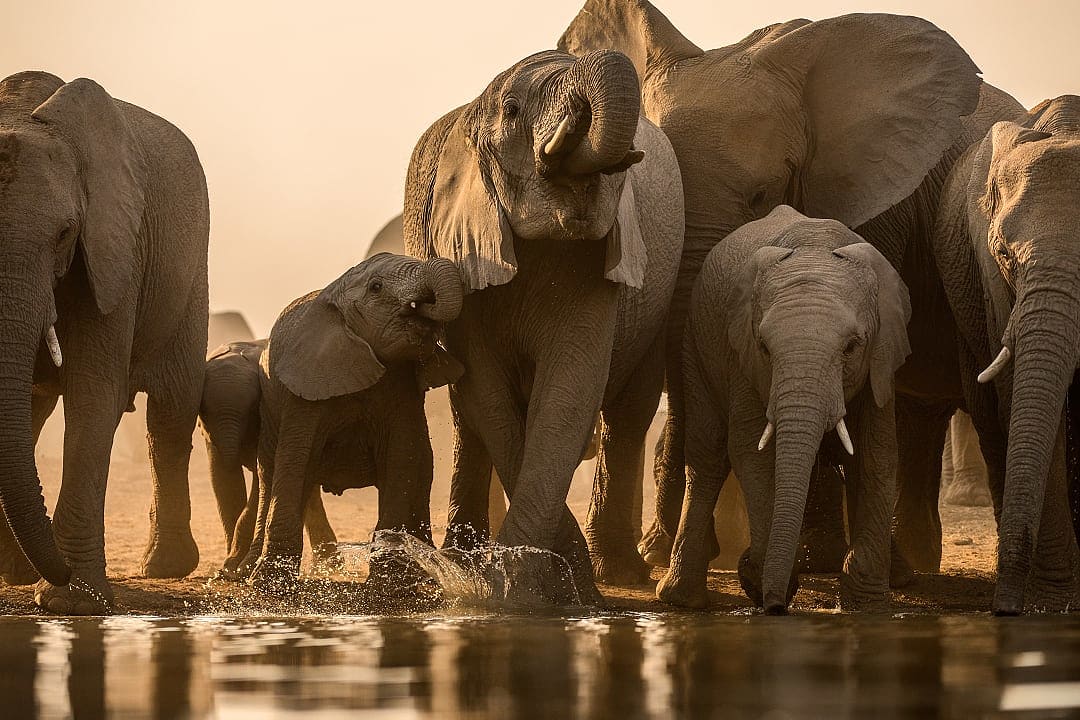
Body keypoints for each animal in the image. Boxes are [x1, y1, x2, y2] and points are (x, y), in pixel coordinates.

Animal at [0, 71, 209, 614]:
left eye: (64, 233)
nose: (59, 567)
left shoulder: (114, 247)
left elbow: (94, 394)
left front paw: (72, 602)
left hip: (190, 277)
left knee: (170, 416)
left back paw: (164, 569)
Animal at [199, 340, 341, 575]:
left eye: (250, 408)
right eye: (205, 410)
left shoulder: (267, 415)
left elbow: (259, 480)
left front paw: (234, 569)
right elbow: (223, 480)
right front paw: (229, 569)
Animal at [244, 253, 465, 587]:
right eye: (376, 287)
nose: (424, 306)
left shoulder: (402, 387)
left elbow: (402, 459)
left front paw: (392, 586)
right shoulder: (304, 389)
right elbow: (295, 461)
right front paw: (271, 586)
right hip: (269, 408)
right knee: (271, 472)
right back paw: (245, 572)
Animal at [404, 48, 684, 601]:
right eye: (512, 110)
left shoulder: (595, 257)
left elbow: (568, 389)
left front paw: (534, 589)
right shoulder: (463, 250)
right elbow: (486, 388)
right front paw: (523, 586)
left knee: (627, 415)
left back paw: (615, 572)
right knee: (468, 418)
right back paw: (463, 556)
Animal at [656, 206, 911, 612]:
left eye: (852, 347)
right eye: (763, 347)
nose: (775, 606)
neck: (815, 247)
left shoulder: (881, 358)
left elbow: (876, 452)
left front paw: (866, 603)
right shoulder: (741, 355)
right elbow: (751, 450)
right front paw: (761, 581)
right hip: (695, 344)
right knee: (707, 455)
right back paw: (682, 599)